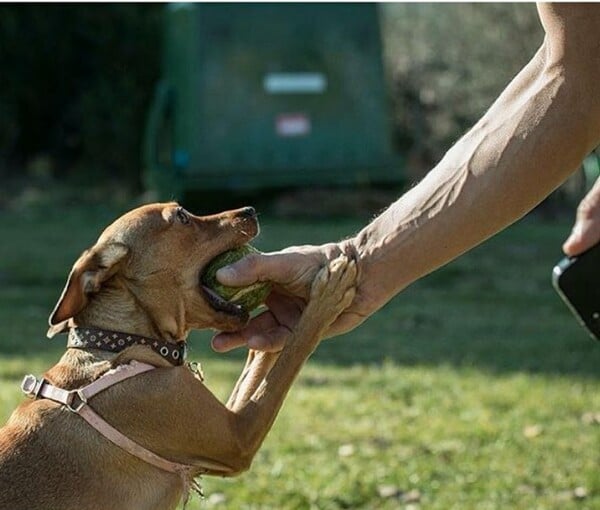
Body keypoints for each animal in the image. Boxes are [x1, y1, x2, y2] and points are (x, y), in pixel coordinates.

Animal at [0, 203, 356, 510]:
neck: (119, 347)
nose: (250, 210)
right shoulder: (237, 437)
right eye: (183, 216)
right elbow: (296, 348)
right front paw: (329, 292)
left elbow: (262, 364)